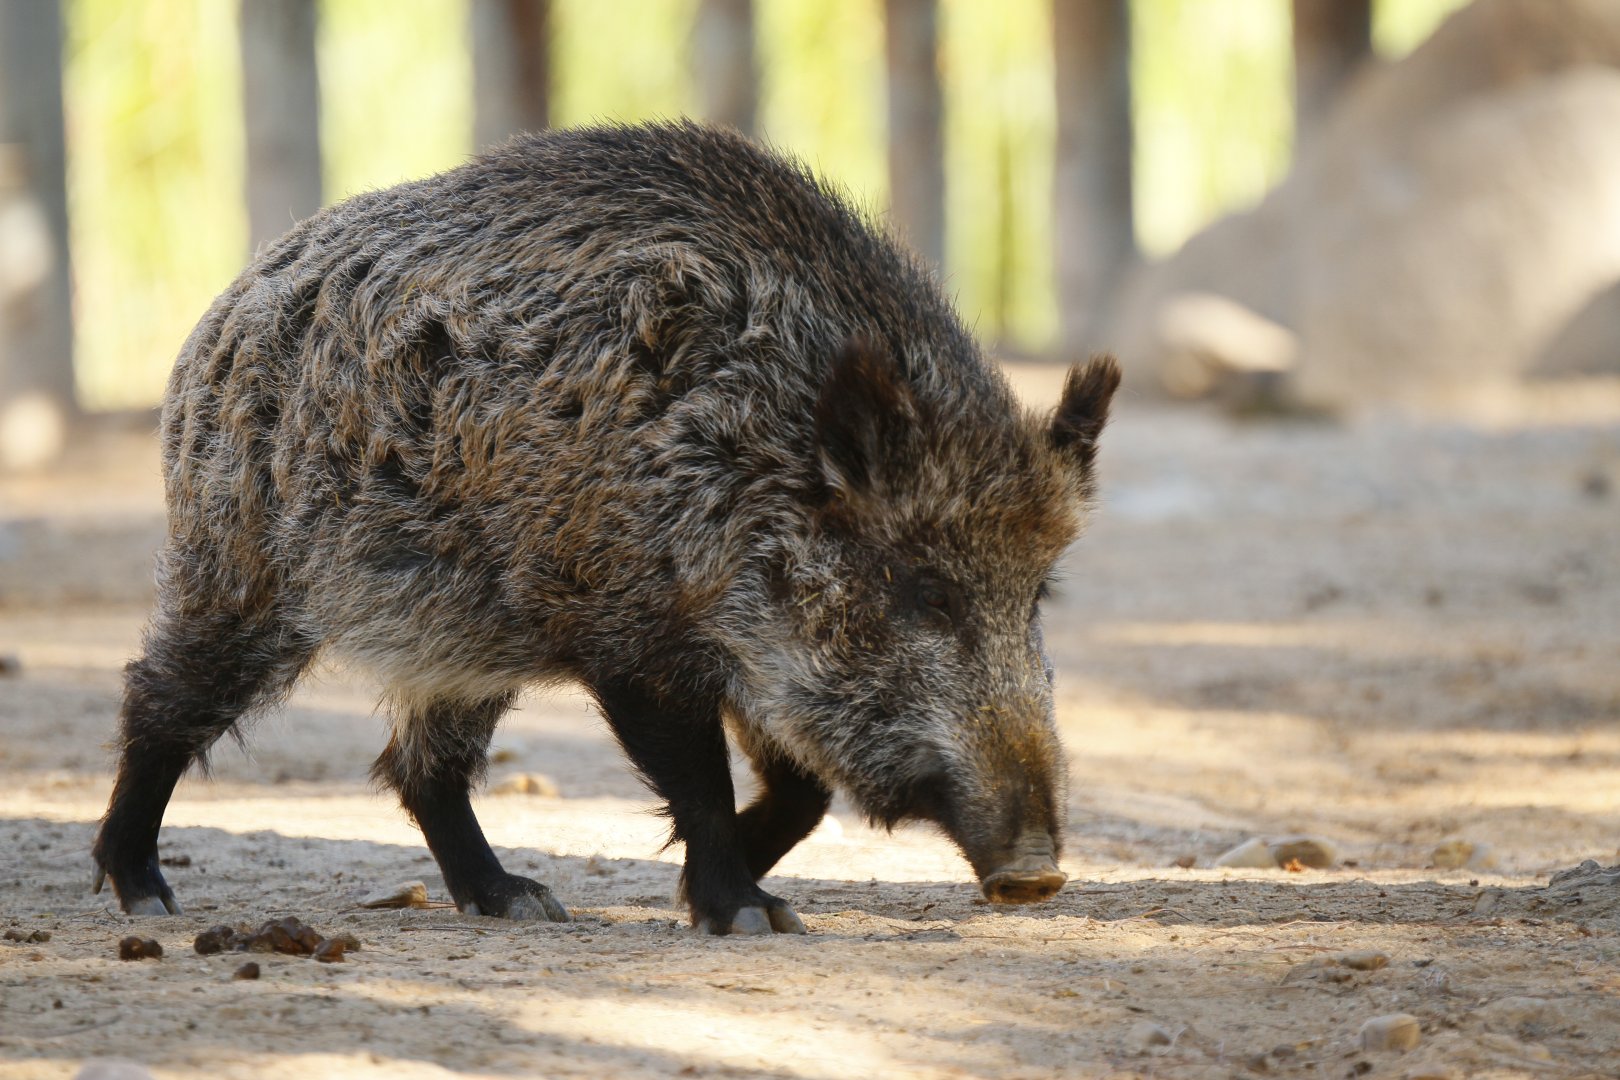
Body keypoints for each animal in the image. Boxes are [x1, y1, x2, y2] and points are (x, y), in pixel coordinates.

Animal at [92, 121, 1120, 934]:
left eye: (1038, 595)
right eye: (923, 590)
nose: (1037, 874)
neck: (742, 467)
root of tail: (223, 313)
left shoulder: (749, 658)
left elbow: (800, 789)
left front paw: (705, 895)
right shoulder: (628, 633)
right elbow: (702, 780)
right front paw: (747, 914)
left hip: (467, 637)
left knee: (419, 764)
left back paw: (518, 901)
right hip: (242, 570)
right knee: (161, 699)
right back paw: (144, 893)